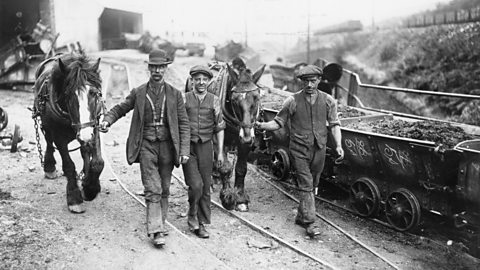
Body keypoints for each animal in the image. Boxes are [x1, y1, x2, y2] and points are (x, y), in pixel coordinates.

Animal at [33, 52, 105, 213]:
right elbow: (69, 165)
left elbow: (98, 162)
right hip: (46, 125)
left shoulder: (94, 127)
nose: (85, 134)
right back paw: (50, 166)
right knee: (48, 141)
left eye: (94, 93)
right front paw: (74, 198)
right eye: (69, 94)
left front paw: (90, 188)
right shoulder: (59, 136)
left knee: (84, 151)